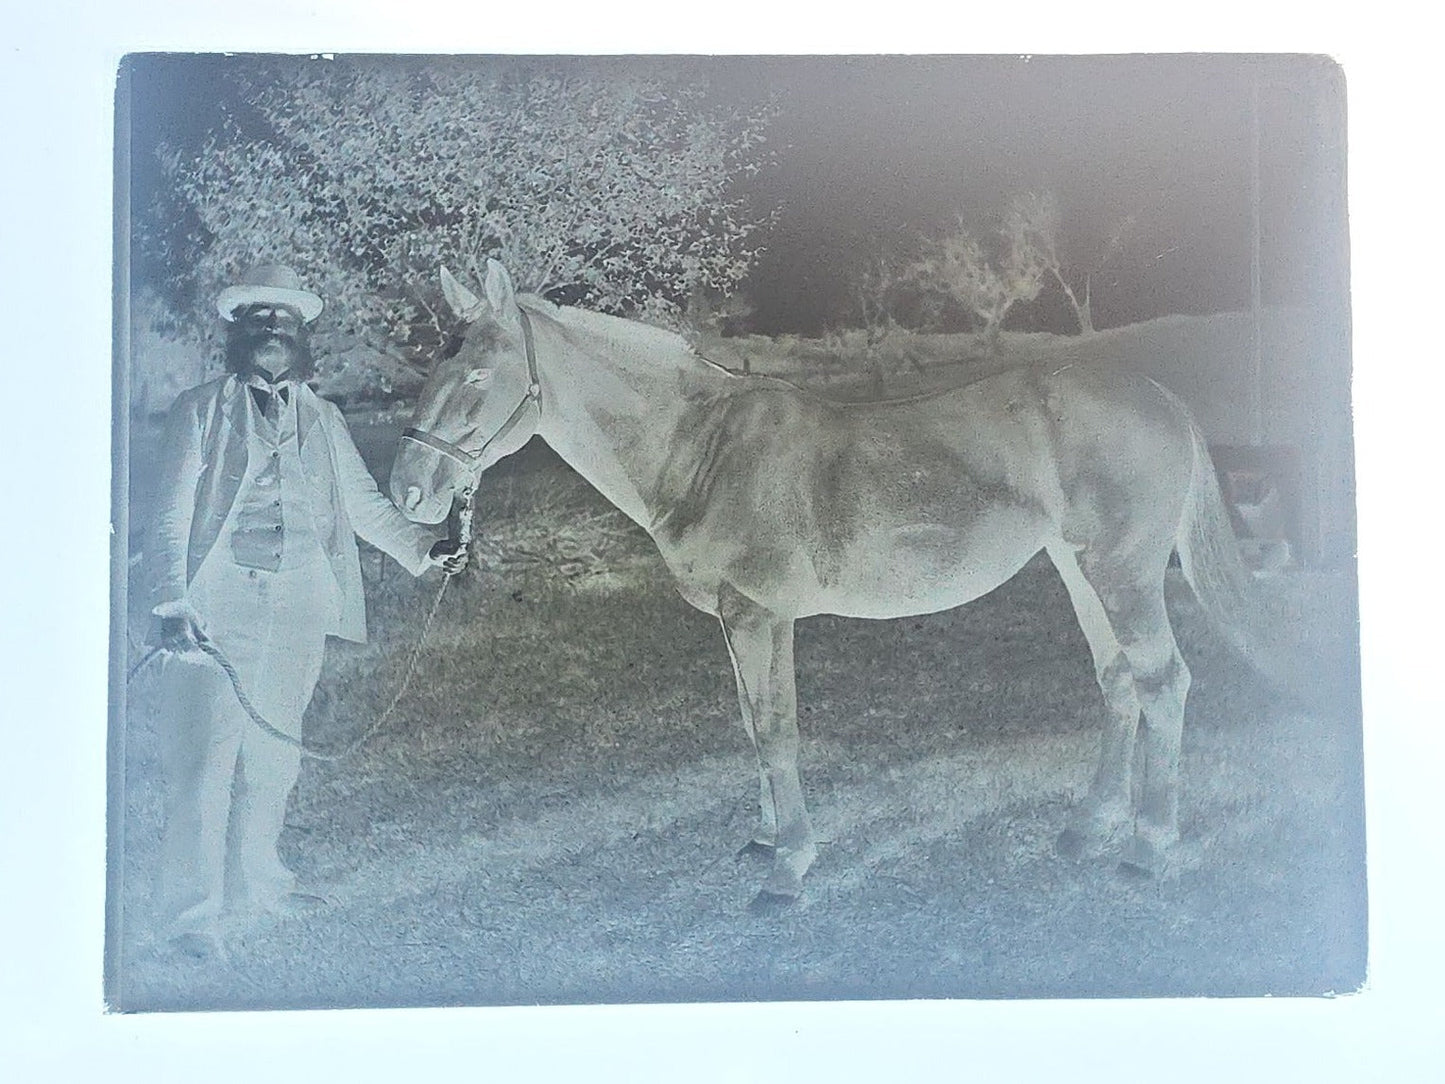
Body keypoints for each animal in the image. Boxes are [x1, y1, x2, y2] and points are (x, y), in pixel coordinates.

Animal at [390, 259, 1257, 906]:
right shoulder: (735, 622)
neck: (704, 450)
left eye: (476, 373)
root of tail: (1159, 396)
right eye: (434, 363)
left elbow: (776, 731)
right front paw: (766, 838)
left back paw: (1146, 846)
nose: (408, 490)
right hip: (1078, 571)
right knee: (1118, 684)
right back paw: (1088, 829)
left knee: (1162, 684)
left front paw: (787, 868)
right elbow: (752, 725)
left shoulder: (758, 615)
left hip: (1122, 575)